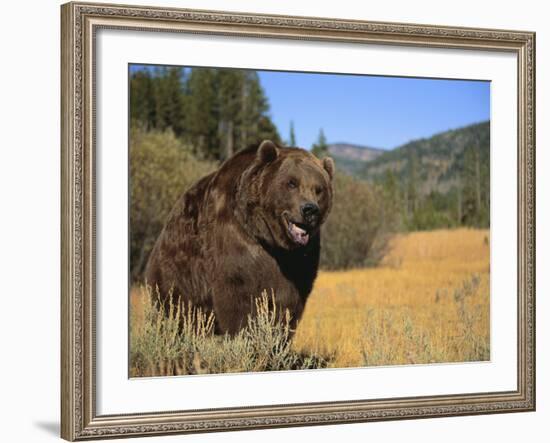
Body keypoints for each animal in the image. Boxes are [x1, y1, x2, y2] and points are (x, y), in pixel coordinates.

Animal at [147, 140, 334, 334]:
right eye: (292, 183)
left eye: (319, 189)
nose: (310, 209)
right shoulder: (236, 241)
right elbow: (240, 298)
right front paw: (246, 332)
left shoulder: (300, 260)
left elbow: (287, 303)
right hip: (178, 268)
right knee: (174, 306)